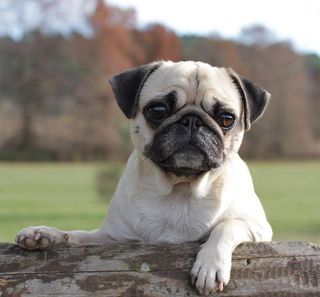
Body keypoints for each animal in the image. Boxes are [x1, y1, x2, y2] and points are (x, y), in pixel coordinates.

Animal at [15, 60, 272, 294]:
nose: (192, 120)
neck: (179, 188)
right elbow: (78, 236)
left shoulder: (259, 227)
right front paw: (45, 233)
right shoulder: (115, 239)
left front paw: (210, 266)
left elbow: (227, 225)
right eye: (157, 111)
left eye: (227, 118)